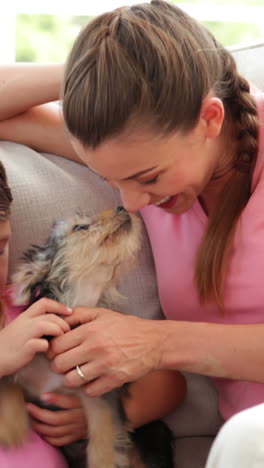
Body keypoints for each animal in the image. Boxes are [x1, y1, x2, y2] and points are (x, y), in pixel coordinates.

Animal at [0, 207, 174, 468]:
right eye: (80, 227)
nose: (122, 207)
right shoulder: (26, 364)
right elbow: (7, 383)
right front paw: (11, 428)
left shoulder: (102, 398)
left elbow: (101, 446)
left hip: (152, 437)